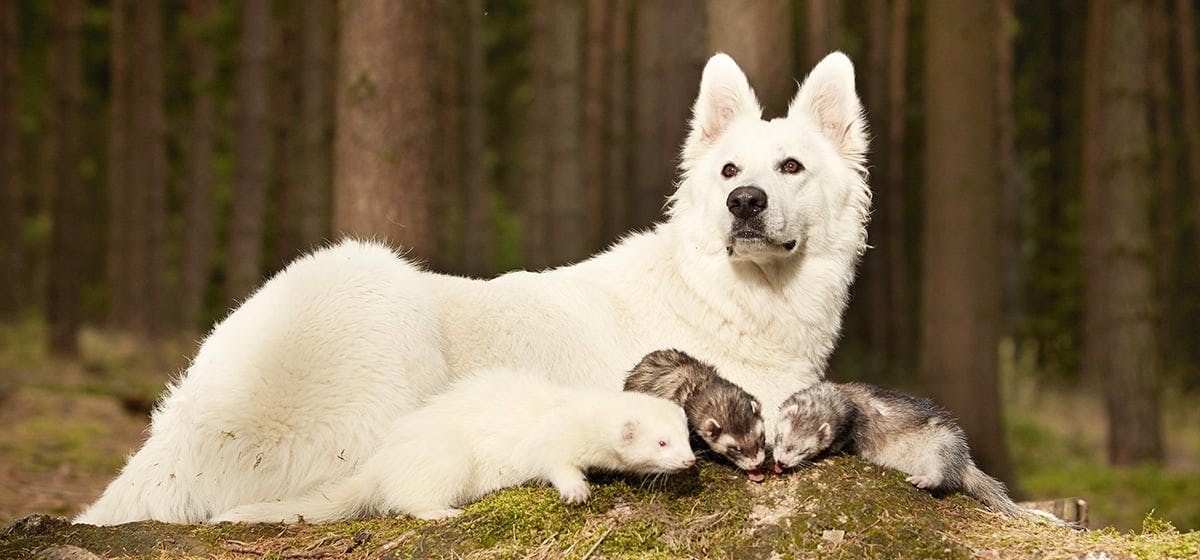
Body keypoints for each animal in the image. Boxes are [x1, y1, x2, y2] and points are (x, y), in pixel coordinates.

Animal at [72, 51, 864, 525]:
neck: (733, 294)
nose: (745, 203)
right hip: (380, 291)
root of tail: (174, 442)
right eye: (729, 171)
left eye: (790, 167)